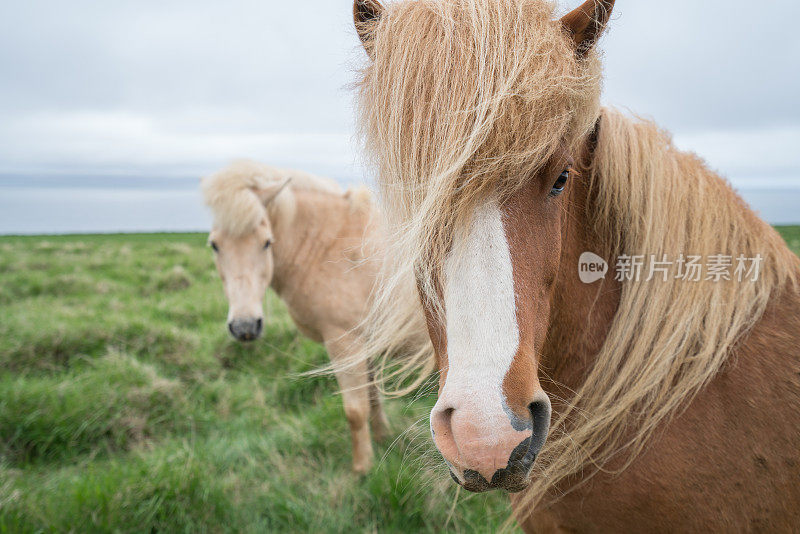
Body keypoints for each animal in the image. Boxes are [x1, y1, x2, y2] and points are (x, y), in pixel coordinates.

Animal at [203, 162, 390, 474]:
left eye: (267, 243)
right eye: (215, 245)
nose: (245, 327)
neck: (330, 246)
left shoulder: (345, 343)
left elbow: (355, 410)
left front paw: (362, 468)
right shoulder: (367, 341)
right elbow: (372, 395)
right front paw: (383, 438)